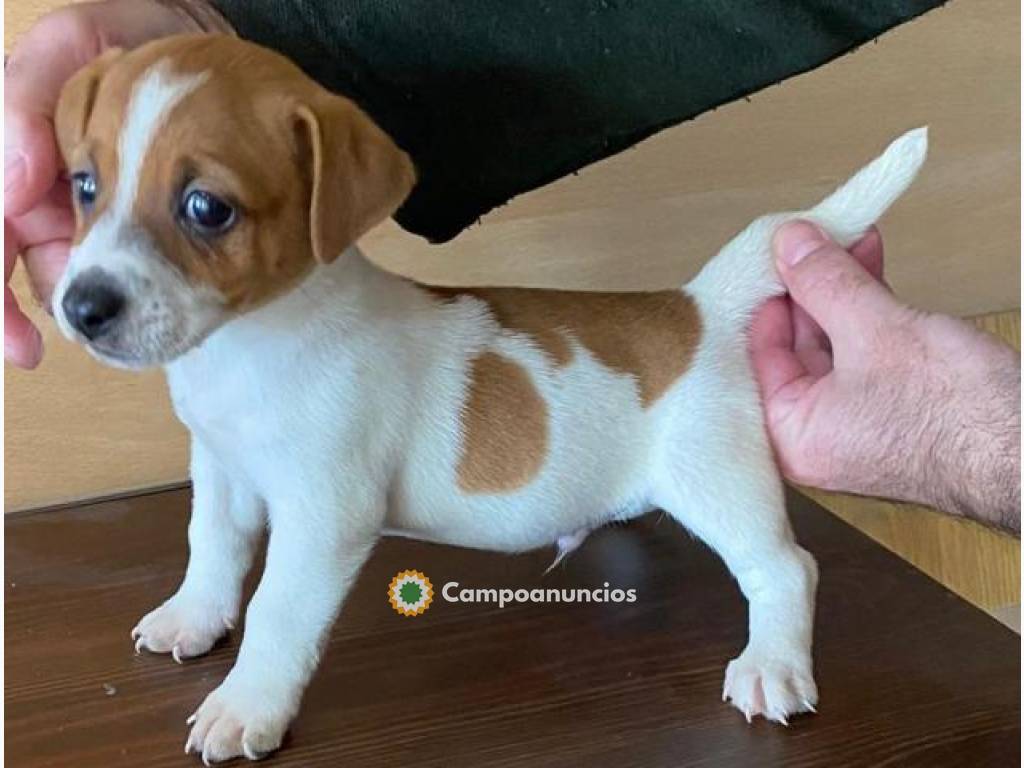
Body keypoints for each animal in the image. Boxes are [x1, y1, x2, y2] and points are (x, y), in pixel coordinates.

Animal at [48, 34, 929, 765]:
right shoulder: (224, 472)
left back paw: (773, 664)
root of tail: (696, 309)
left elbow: (277, 611)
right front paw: (194, 617)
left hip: (720, 483)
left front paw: (247, 705)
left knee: (786, 569)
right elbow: (213, 550)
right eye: (84, 186)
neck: (254, 340)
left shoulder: (325, 515)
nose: (81, 308)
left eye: (207, 208)